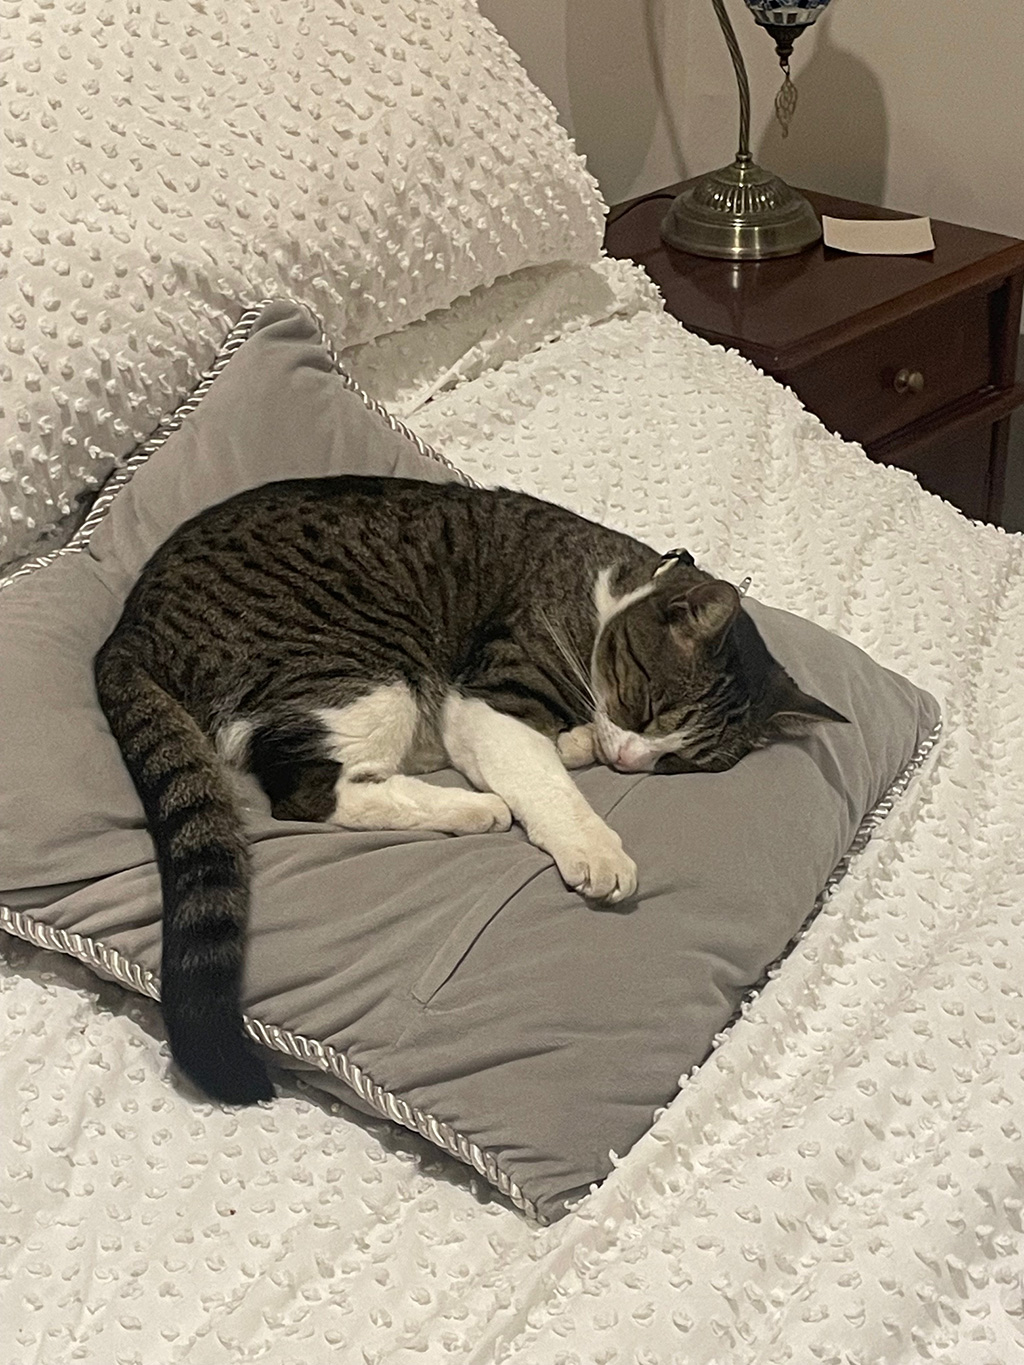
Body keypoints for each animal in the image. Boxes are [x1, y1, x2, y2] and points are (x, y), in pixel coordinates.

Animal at [94, 475, 846, 1105]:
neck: (606, 590)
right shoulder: (494, 698)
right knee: (309, 791)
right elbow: (549, 787)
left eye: (679, 764)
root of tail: (123, 632)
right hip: (366, 670)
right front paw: (598, 847)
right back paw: (475, 807)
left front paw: (577, 743)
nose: (633, 762)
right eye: (649, 708)